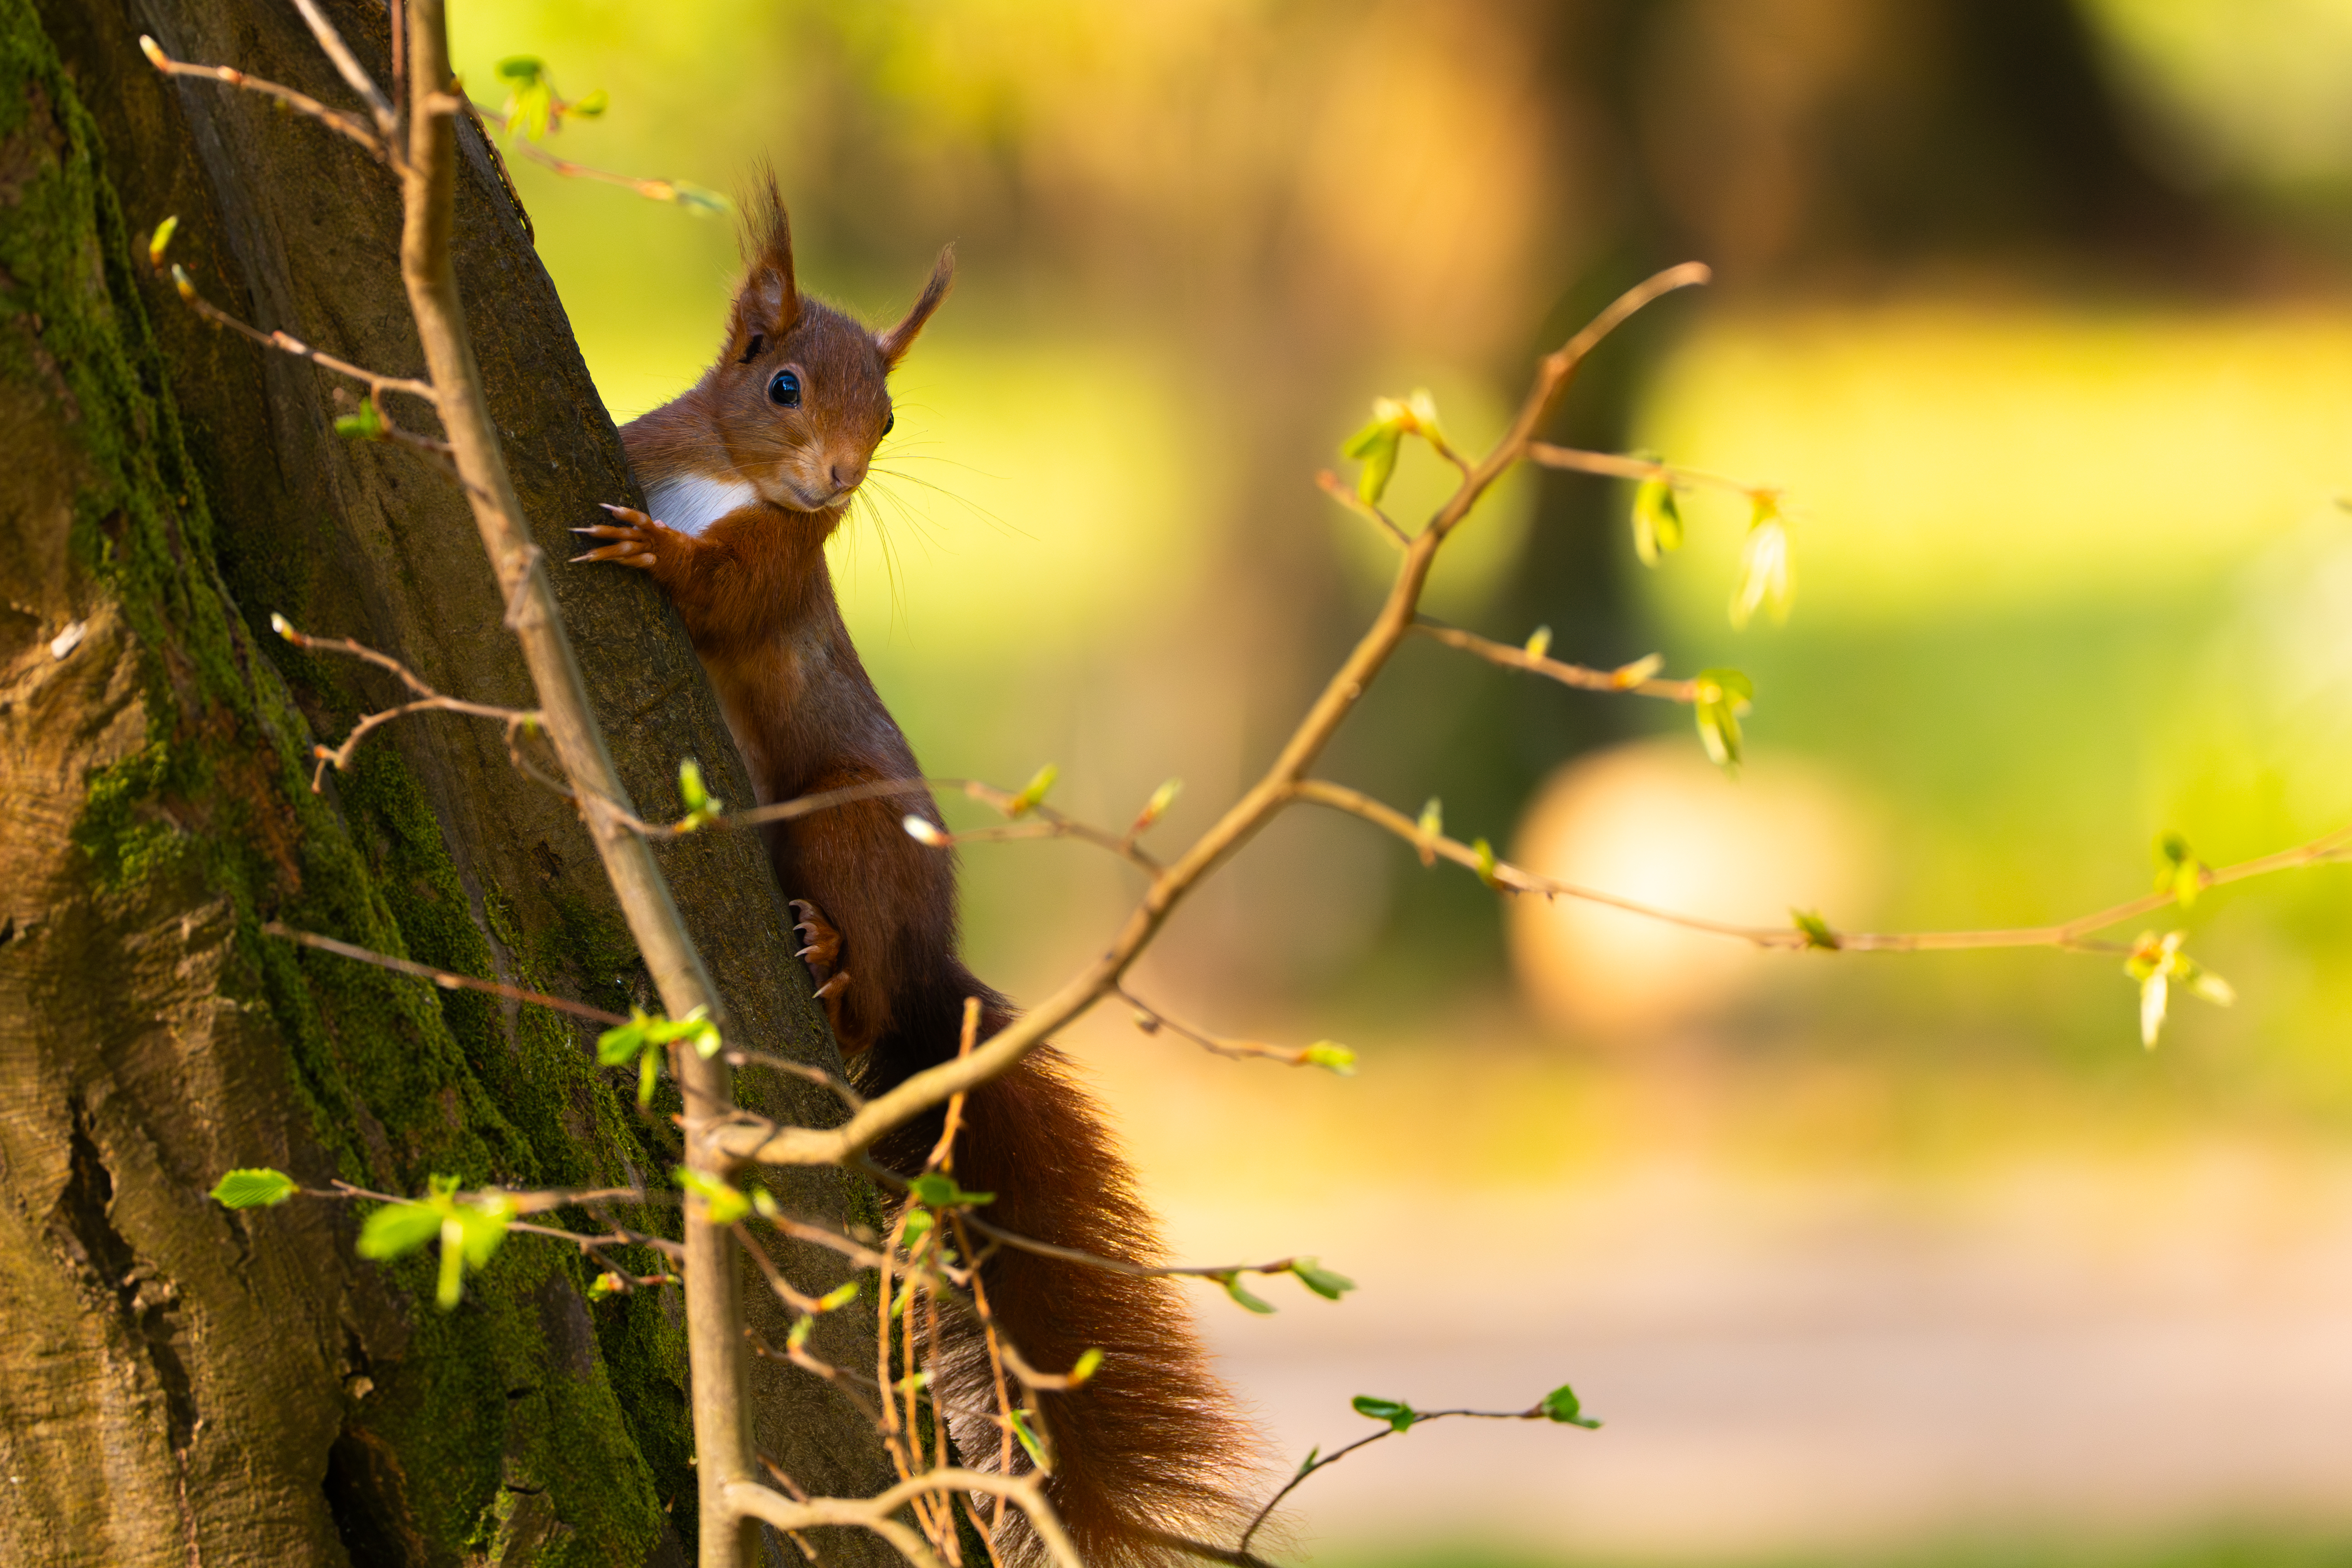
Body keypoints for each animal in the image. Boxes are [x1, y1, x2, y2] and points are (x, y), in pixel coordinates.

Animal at [577, 182, 1258, 1565]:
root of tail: (932, 954)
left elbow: (721, 587)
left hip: (849, 825)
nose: (836, 477)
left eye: (888, 416)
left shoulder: (780, 565)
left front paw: (660, 560)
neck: (727, 478)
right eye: (780, 380)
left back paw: (834, 967)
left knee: (868, 991)